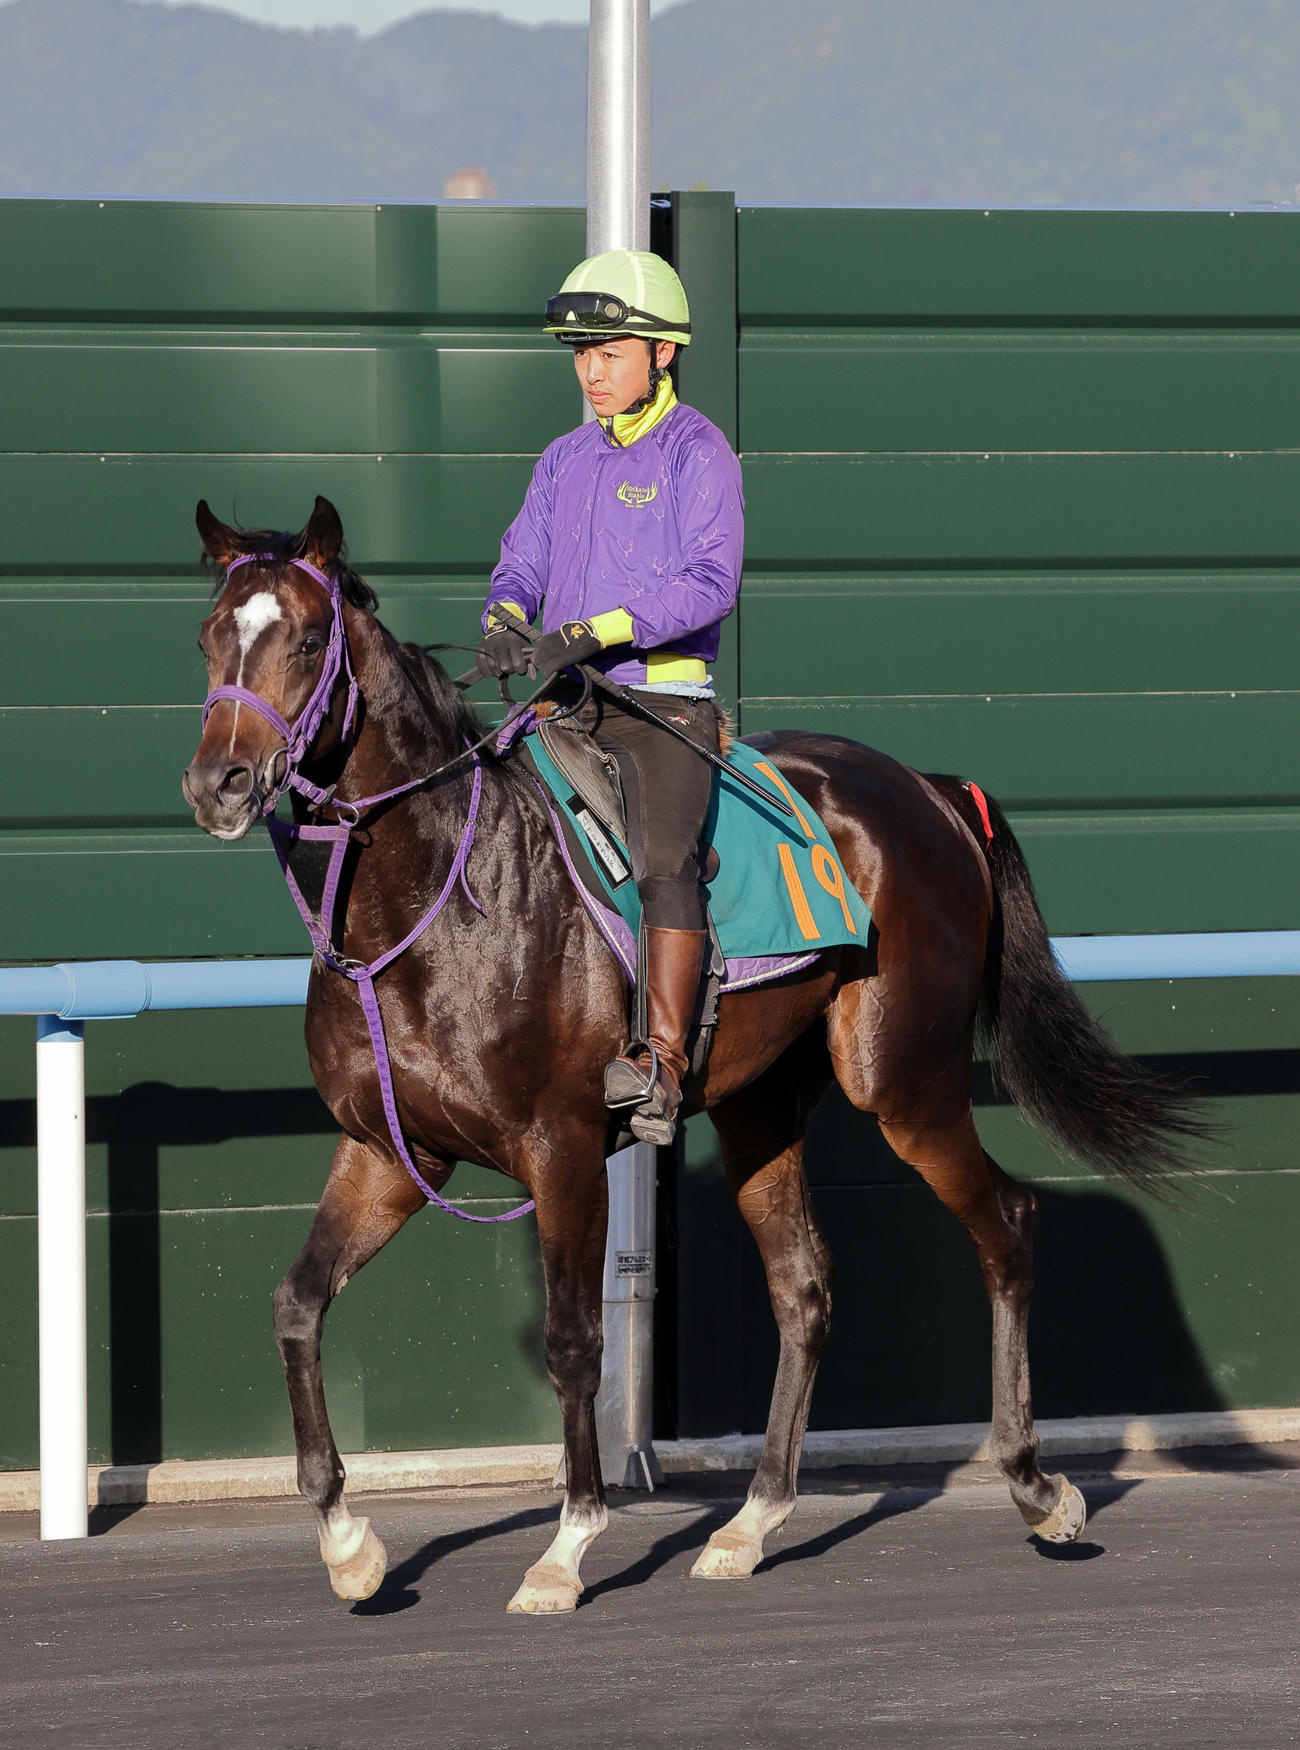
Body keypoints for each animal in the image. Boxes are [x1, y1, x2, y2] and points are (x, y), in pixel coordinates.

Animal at [182, 495, 1201, 1614]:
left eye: (306, 640)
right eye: (210, 635)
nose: (218, 783)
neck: (440, 899)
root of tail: (932, 793)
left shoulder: (564, 1151)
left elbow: (574, 1341)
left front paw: (567, 1545)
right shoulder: (390, 1154)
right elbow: (297, 1304)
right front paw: (348, 1541)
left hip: (904, 1082)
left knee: (1005, 1225)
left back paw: (1035, 1486)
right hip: (762, 1103)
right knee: (803, 1286)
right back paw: (752, 1521)